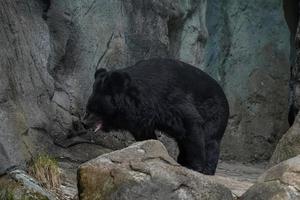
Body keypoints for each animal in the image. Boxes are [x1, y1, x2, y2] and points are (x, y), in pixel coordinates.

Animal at [83, 58, 229, 175]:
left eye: (96, 109)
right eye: (88, 107)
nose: (84, 123)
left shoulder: (175, 100)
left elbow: (191, 125)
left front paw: (195, 167)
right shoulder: (141, 117)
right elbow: (145, 134)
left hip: (214, 113)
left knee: (210, 140)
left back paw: (207, 169)